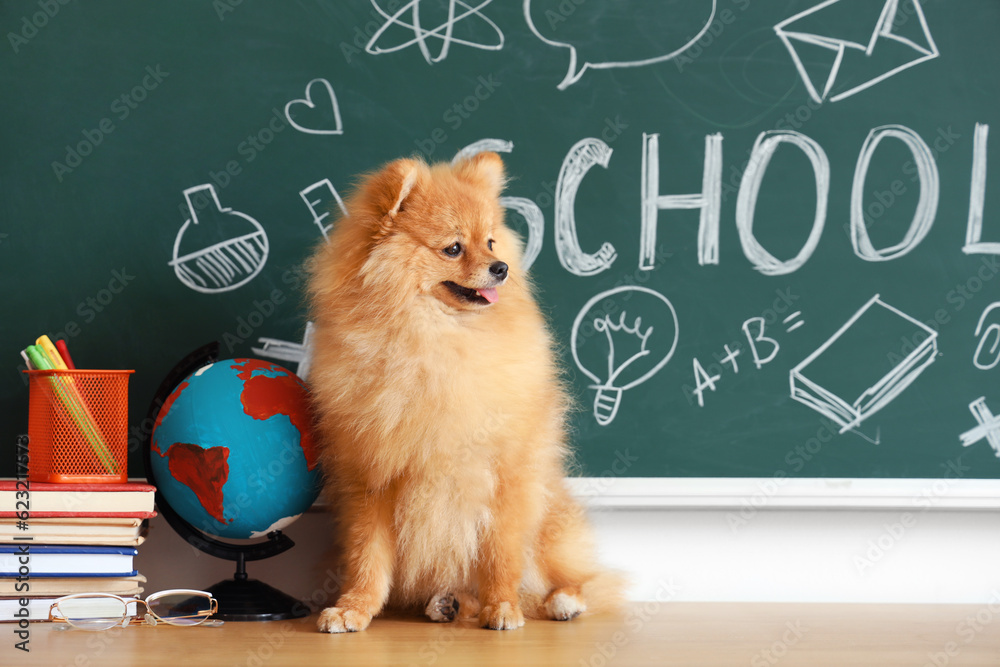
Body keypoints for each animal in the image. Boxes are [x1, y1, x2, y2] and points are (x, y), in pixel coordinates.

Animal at [304, 153, 620, 636]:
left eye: (490, 242)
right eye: (453, 248)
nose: (501, 267)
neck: (435, 343)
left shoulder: (505, 474)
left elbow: (500, 554)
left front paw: (503, 606)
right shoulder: (370, 477)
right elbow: (367, 557)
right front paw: (354, 608)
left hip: (548, 521)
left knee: (567, 577)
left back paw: (561, 601)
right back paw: (449, 603)